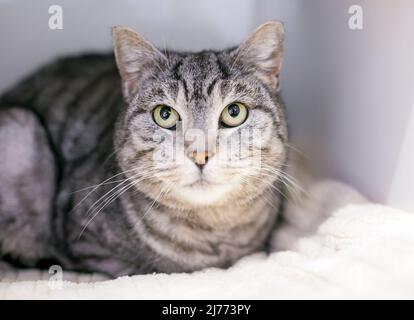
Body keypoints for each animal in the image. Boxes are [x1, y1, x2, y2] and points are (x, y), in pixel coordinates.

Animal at [0, 20, 288, 278]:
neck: (214, 231)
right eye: (164, 114)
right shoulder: (90, 247)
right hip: (20, 127)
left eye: (234, 112)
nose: (200, 154)